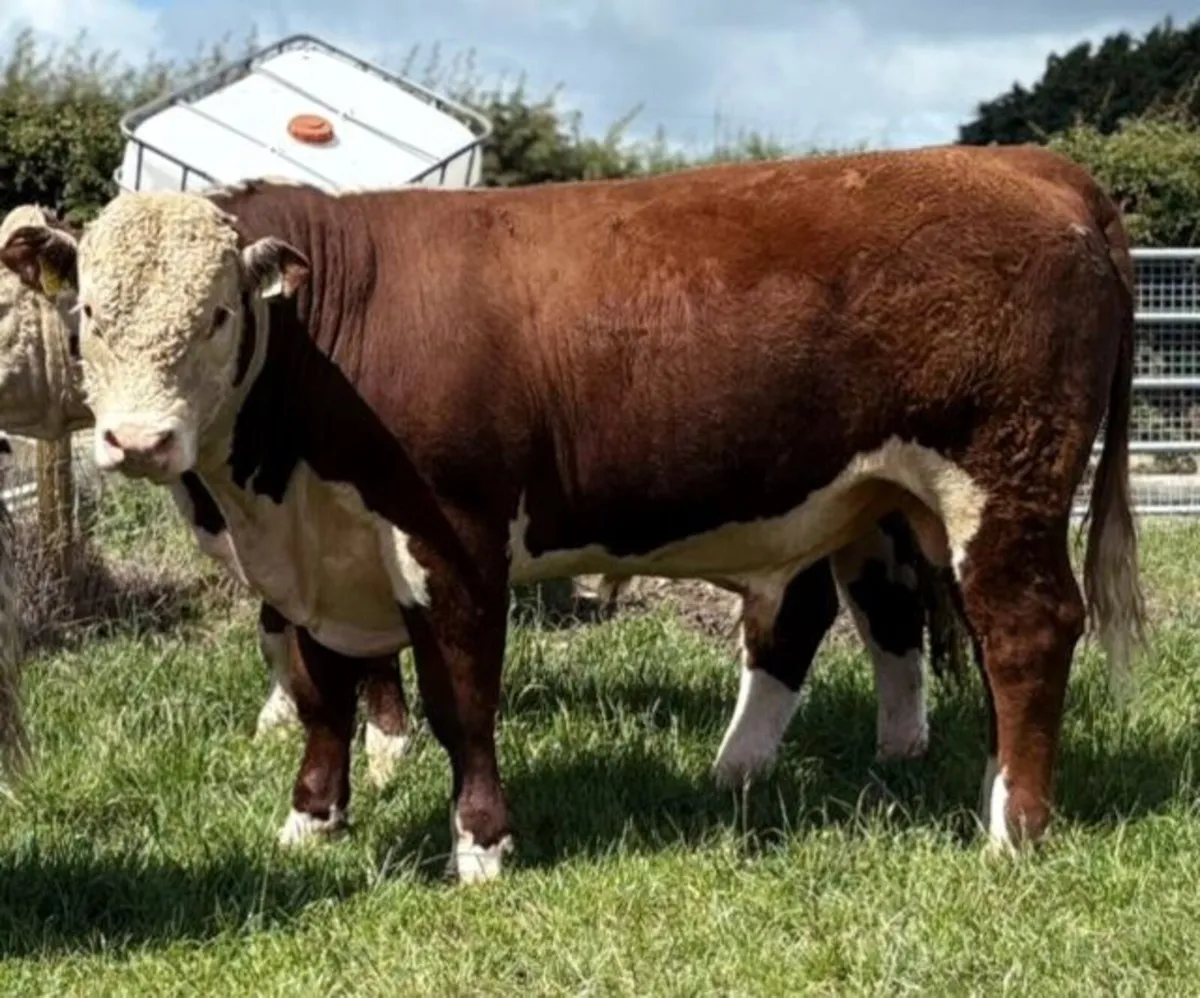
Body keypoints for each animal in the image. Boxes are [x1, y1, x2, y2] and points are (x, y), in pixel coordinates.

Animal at [1, 142, 1140, 884]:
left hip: (1005, 478)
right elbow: (322, 695)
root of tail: (1026, 164)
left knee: (1024, 628)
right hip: (883, 498)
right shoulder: (308, 565)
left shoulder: (454, 540)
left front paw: (481, 845)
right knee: (885, 619)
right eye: (88, 310)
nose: (138, 441)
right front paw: (311, 823)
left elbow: (461, 701)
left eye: (218, 313)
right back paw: (825, 768)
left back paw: (1014, 824)